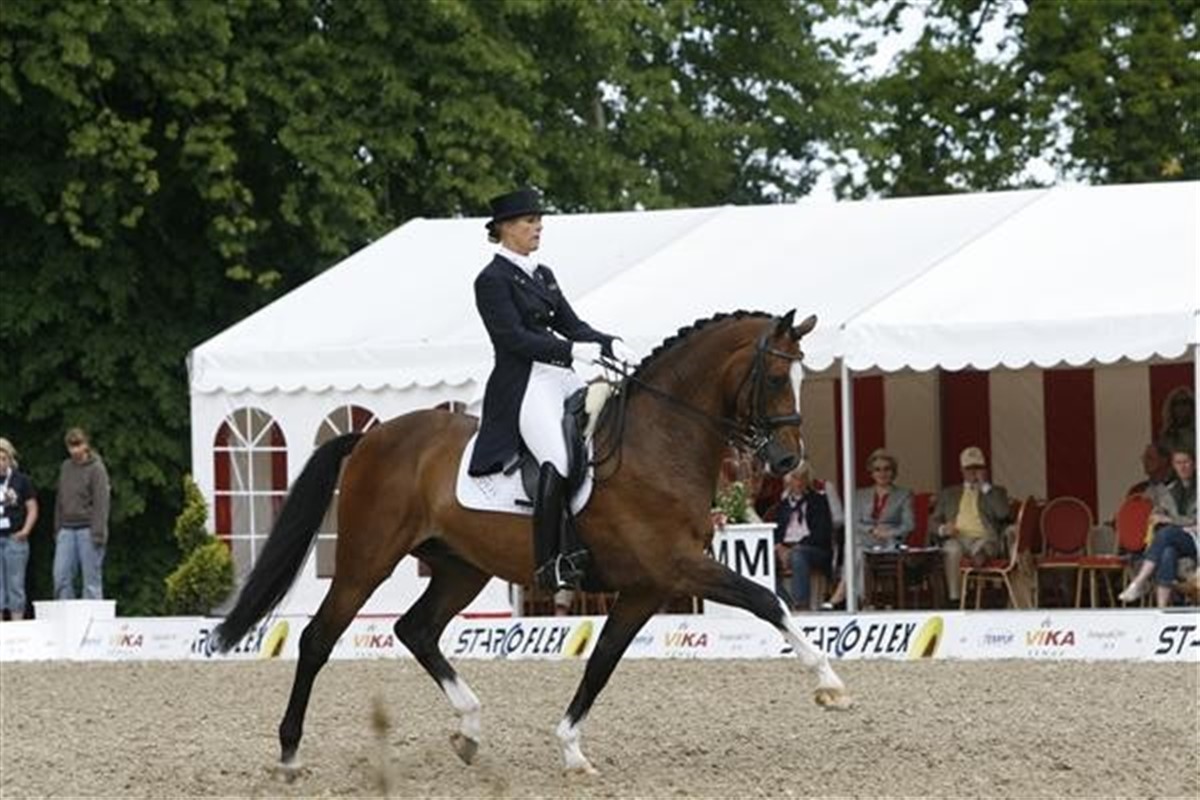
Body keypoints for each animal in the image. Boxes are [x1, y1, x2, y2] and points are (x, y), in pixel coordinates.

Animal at [211, 309, 852, 776]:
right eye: (776, 378)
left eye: (801, 378)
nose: (787, 461)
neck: (658, 441)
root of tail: (371, 437)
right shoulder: (677, 566)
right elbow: (767, 600)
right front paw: (830, 686)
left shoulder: (646, 588)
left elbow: (602, 660)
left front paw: (571, 748)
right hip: (367, 559)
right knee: (319, 638)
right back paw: (290, 754)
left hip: (461, 567)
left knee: (416, 629)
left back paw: (469, 729)